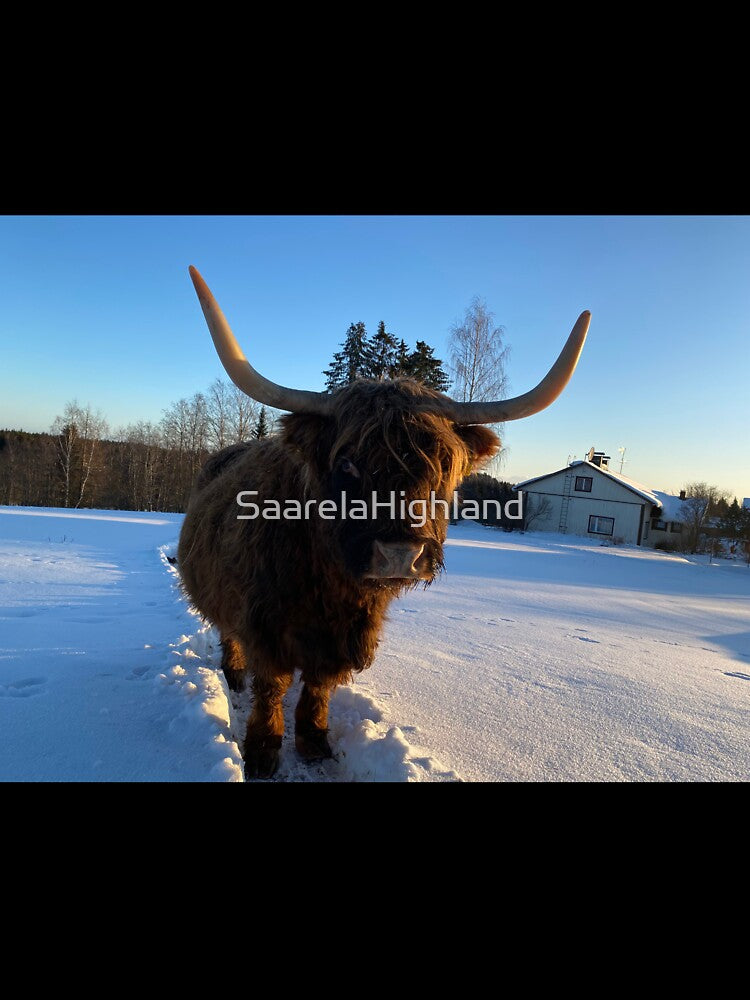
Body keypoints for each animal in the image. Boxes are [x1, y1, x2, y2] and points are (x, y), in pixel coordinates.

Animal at [178, 266, 590, 777]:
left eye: (442, 467)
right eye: (347, 463)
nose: (399, 555)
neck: (329, 588)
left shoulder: (348, 636)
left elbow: (319, 687)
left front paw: (315, 743)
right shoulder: (265, 626)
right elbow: (271, 688)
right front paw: (261, 753)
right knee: (228, 635)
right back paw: (232, 675)